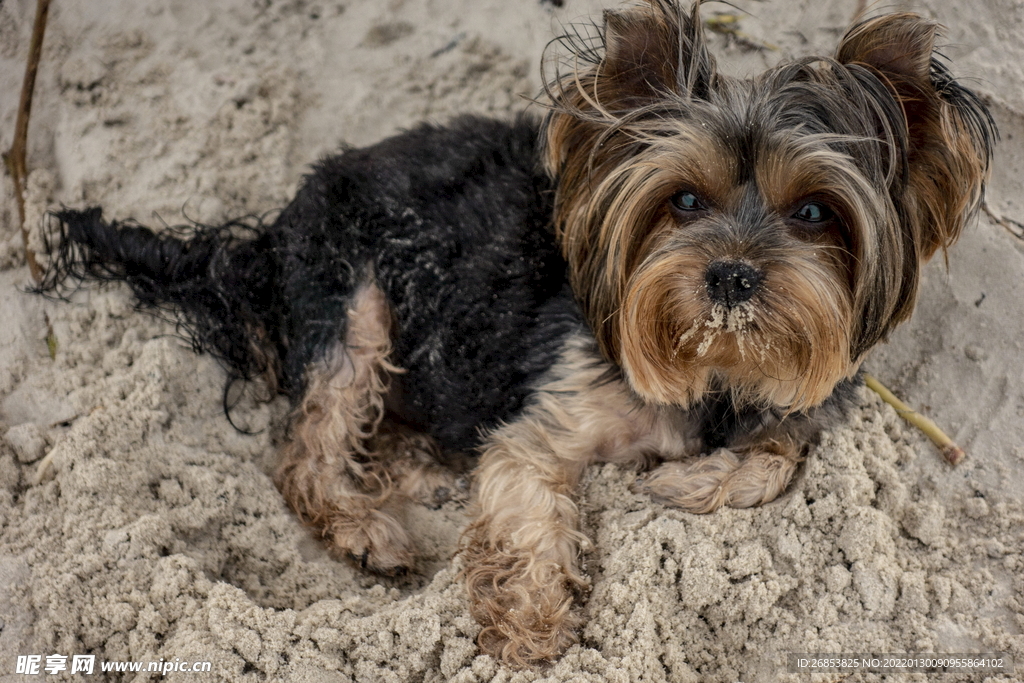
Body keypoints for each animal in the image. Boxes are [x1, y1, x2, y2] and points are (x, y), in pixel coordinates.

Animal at [41, 0, 991, 671]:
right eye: (683, 200)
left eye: (815, 213)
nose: (730, 274)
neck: (712, 365)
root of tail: (268, 236)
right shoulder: (547, 418)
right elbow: (529, 505)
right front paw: (532, 627)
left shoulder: (803, 398)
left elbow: (776, 457)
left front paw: (684, 481)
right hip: (354, 294)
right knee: (309, 445)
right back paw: (366, 525)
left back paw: (413, 470)